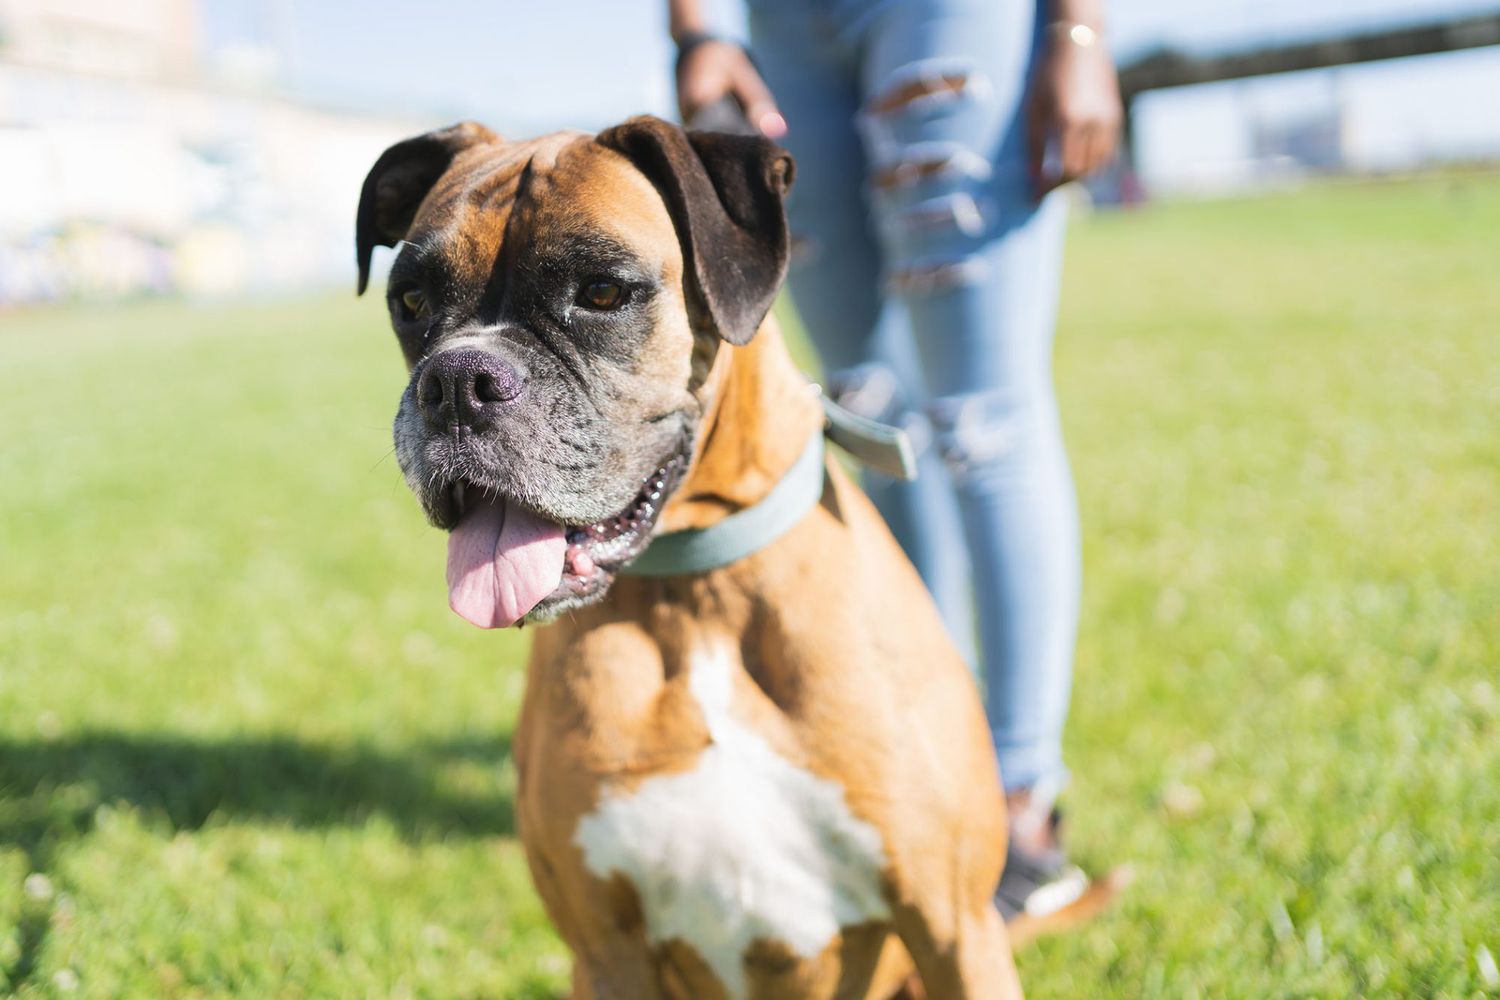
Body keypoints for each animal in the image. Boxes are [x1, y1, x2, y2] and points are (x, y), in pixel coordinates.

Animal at [357, 119, 1026, 1000]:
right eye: (411, 302)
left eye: (603, 293)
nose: (456, 382)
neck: (701, 596)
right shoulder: (608, 952)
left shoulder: (954, 928)